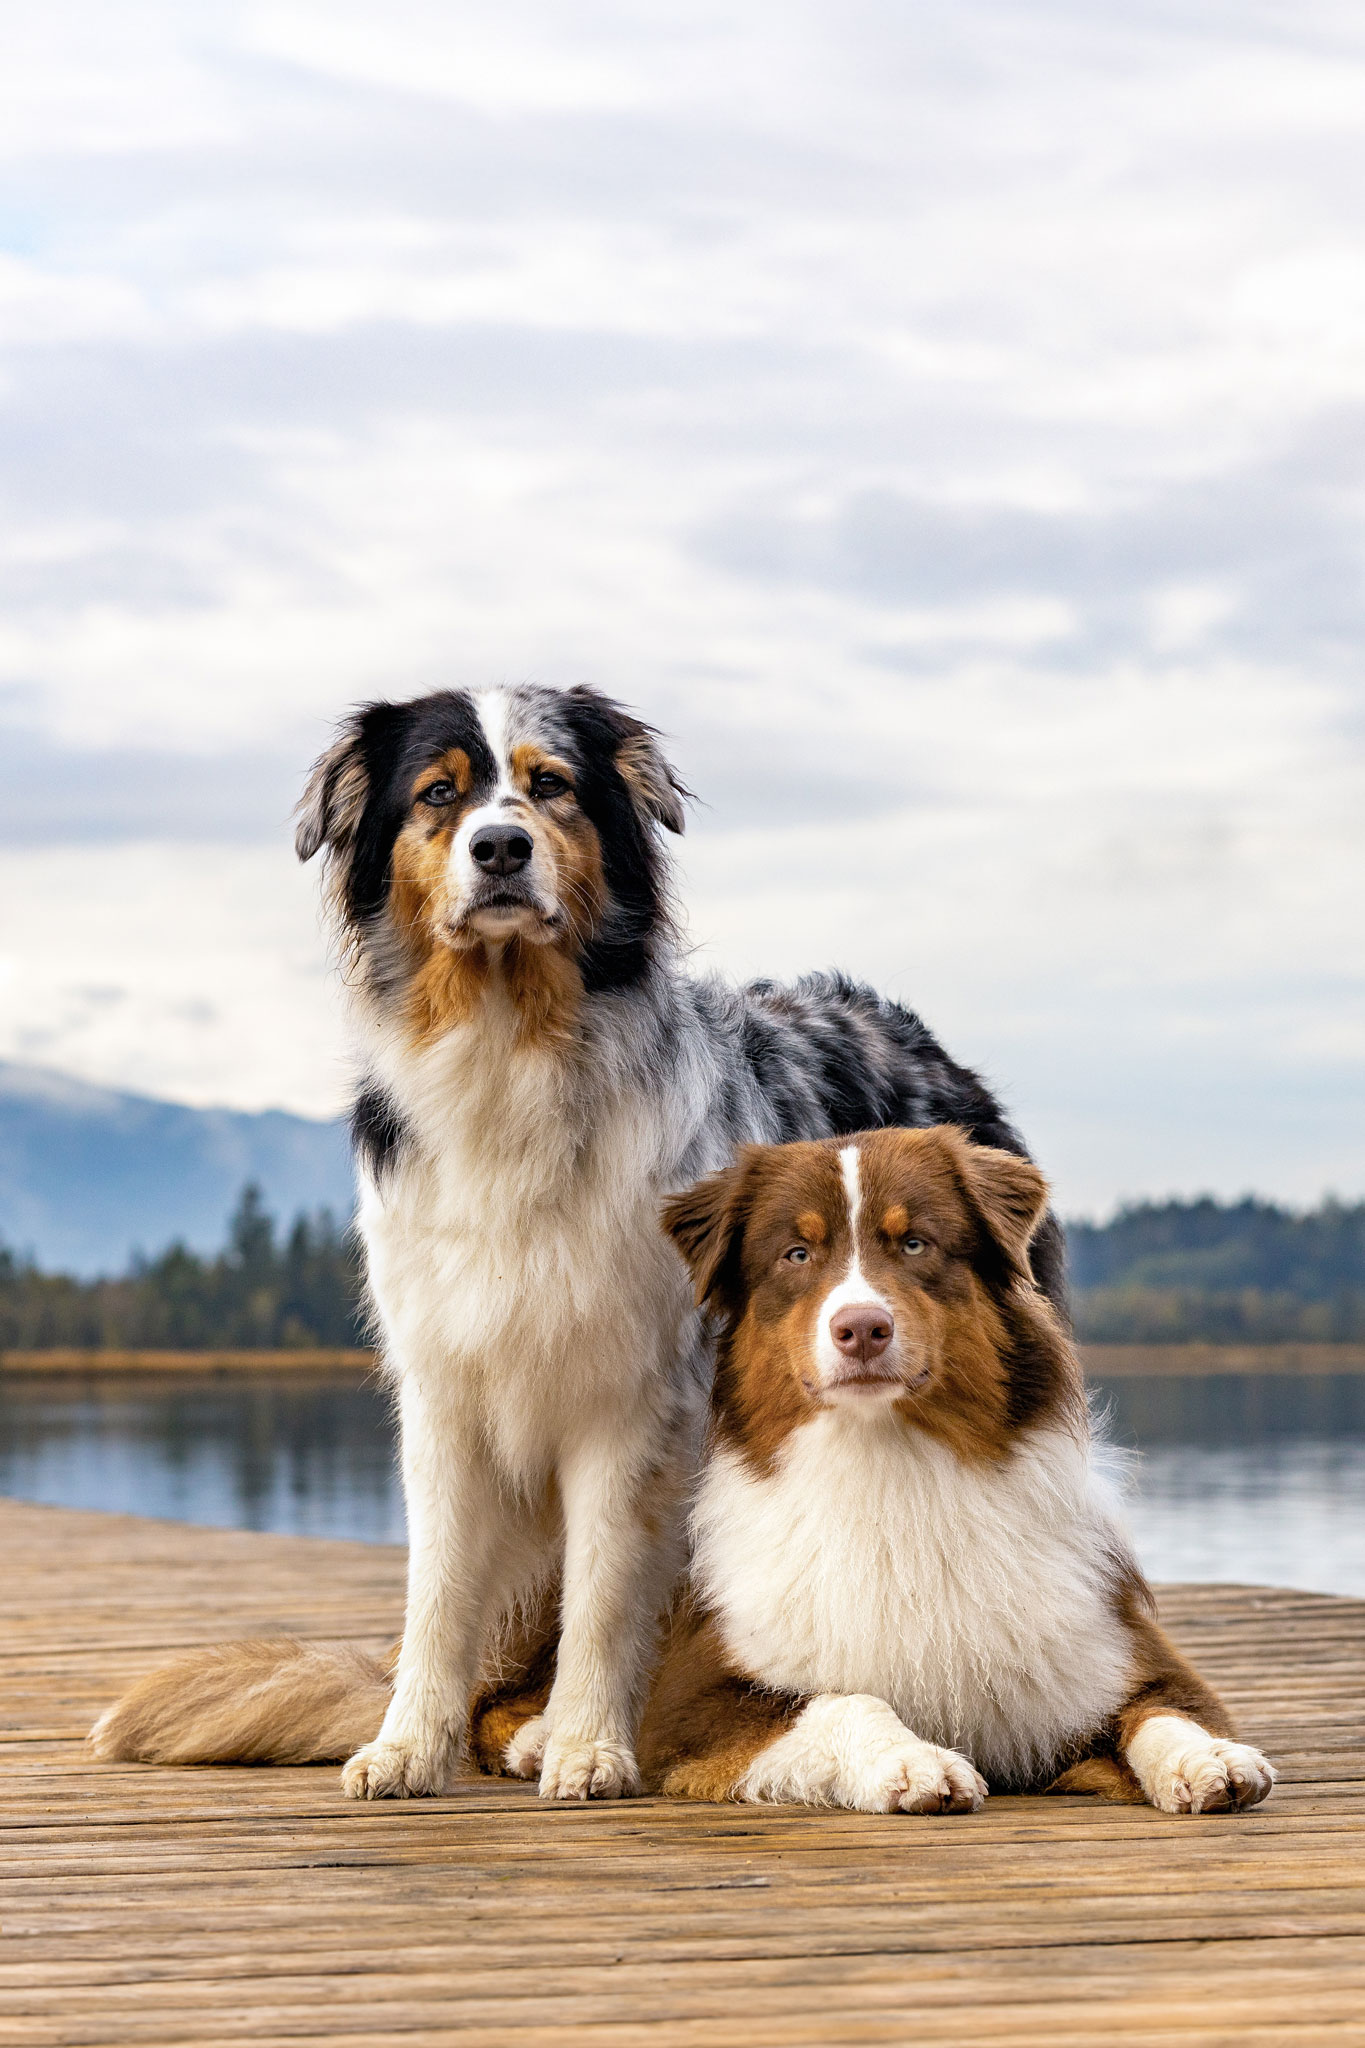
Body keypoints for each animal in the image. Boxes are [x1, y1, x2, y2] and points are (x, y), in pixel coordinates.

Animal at [90, 679, 1064, 1802]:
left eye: (549, 783)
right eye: (439, 794)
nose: (501, 846)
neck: (508, 1044)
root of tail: (931, 1047)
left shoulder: (633, 1396)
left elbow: (606, 1592)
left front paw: (591, 1745)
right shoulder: (444, 1390)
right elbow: (437, 1595)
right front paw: (408, 1747)